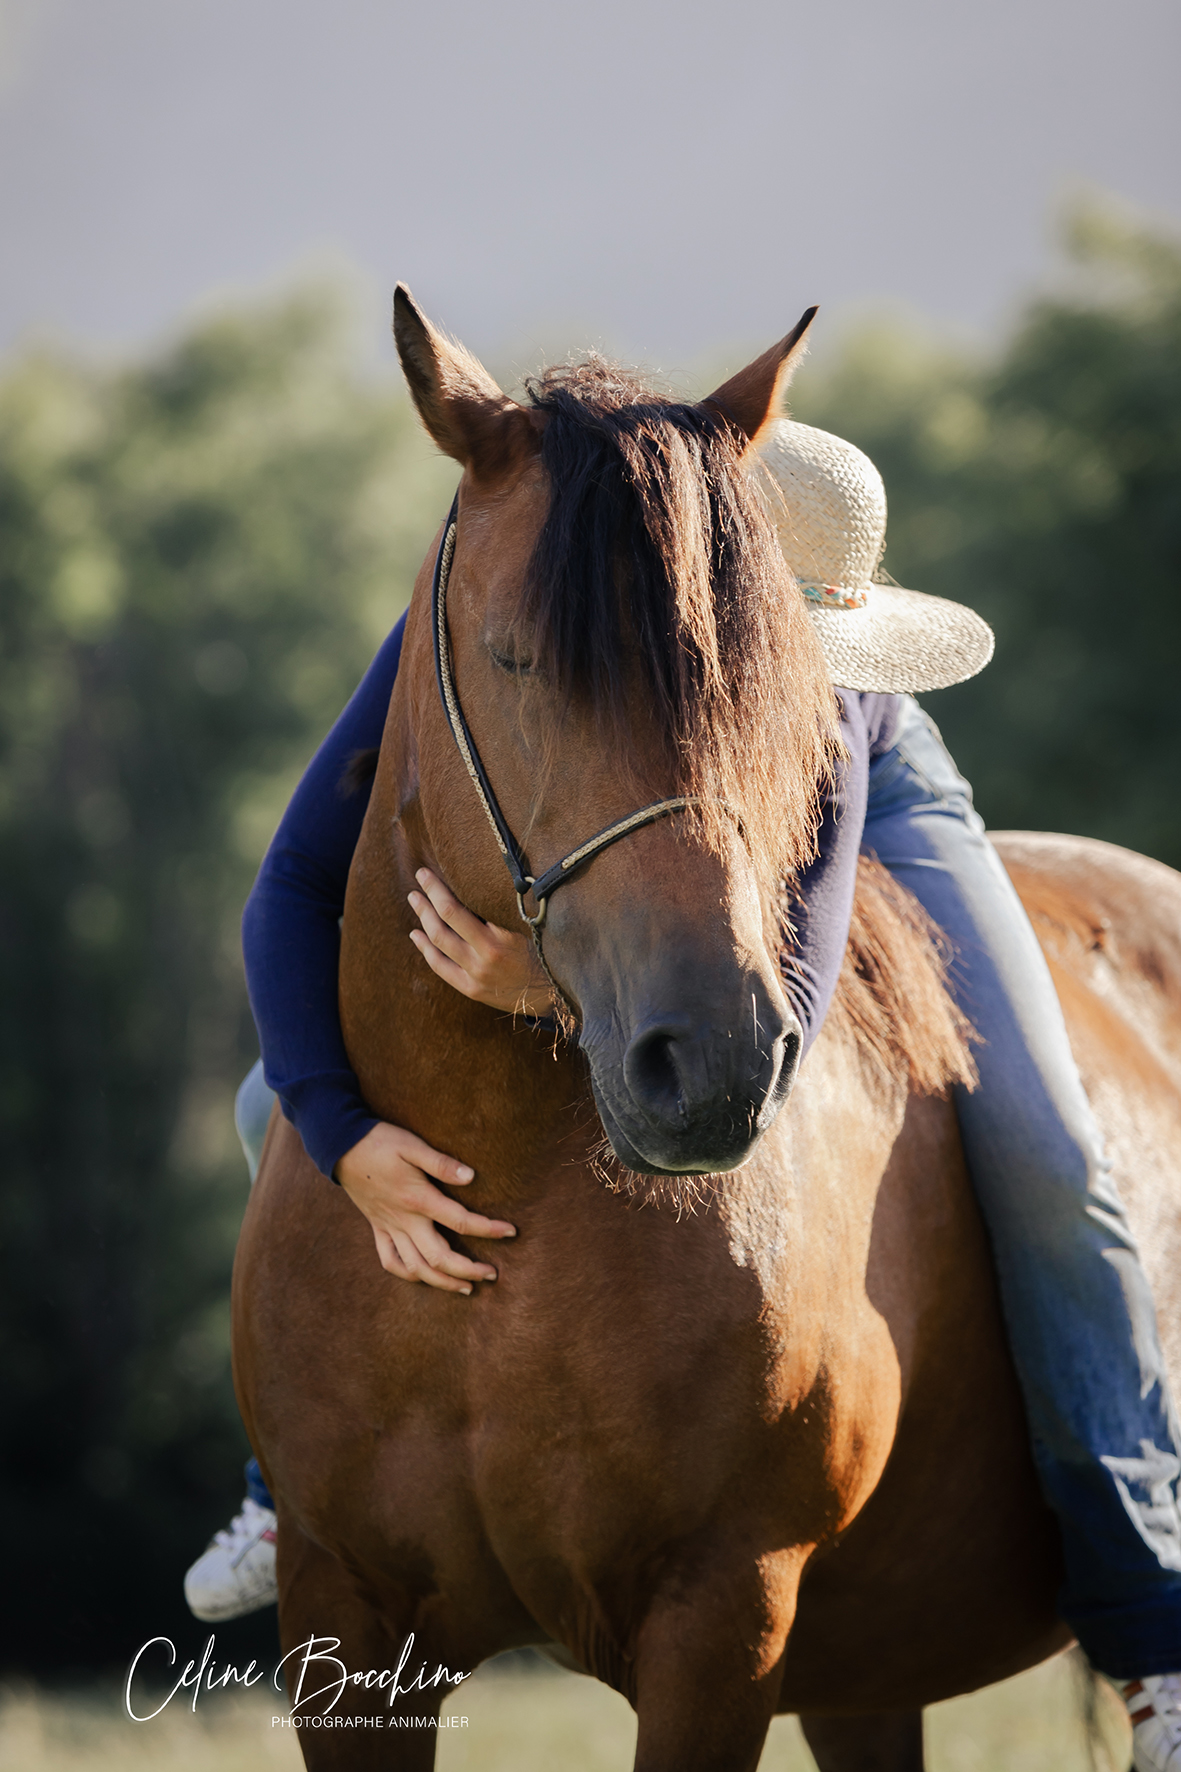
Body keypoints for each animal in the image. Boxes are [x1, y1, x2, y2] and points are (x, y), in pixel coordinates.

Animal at [232, 288, 1181, 1772]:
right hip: (865, 1675)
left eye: (774, 696)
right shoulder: (345, 1621)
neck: (505, 1216)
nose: (715, 1066)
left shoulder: (720, 1619)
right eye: (512, 658)